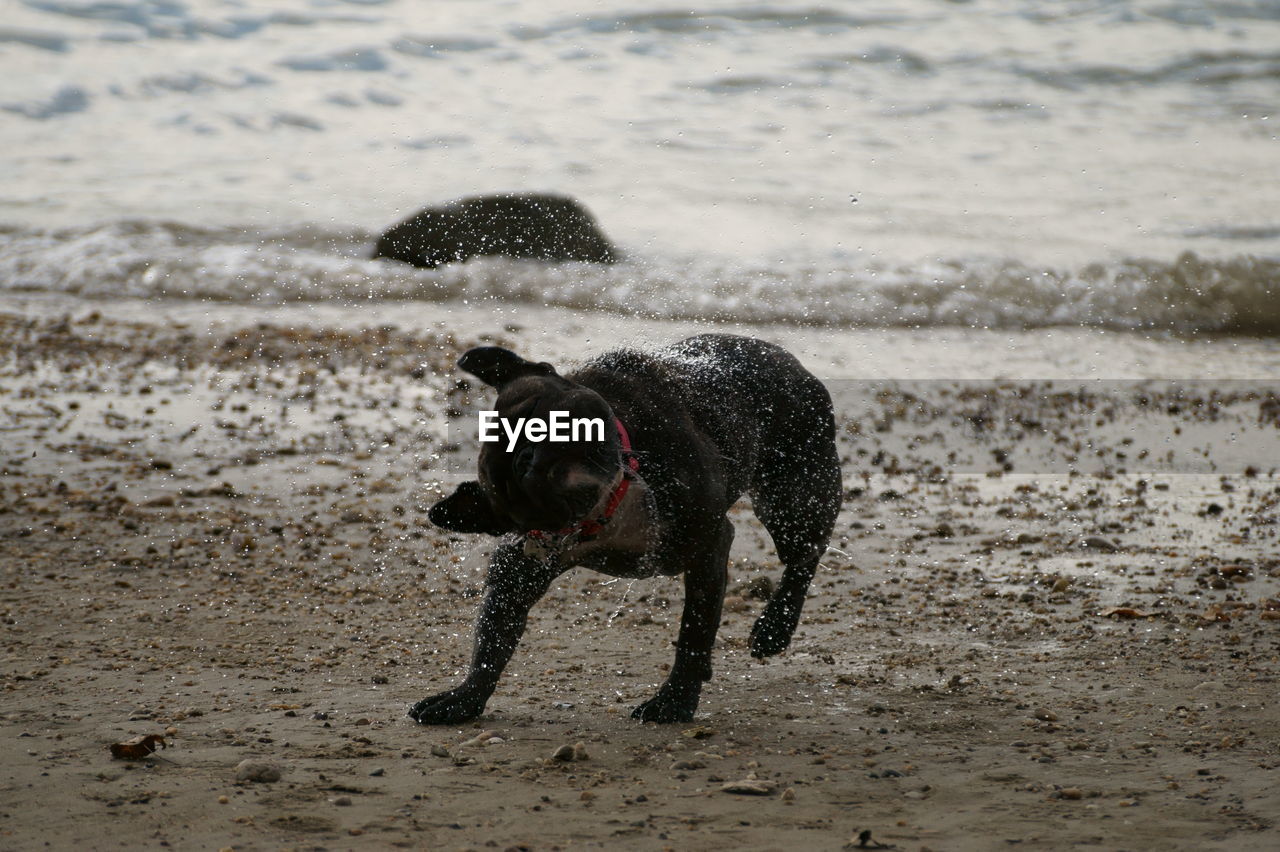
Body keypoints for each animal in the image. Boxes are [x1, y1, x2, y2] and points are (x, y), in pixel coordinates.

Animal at [414, 335, 844, 721]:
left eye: (538, 412)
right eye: (513, 486)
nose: (529, 456)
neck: (616, 495)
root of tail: (785, 358)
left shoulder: (707, 543)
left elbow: (694, 630)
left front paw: (674, 700)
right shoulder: (524, 565)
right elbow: (494, 635)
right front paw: (466, 696)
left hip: (794, 497)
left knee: (804, 556)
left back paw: (775, 627)